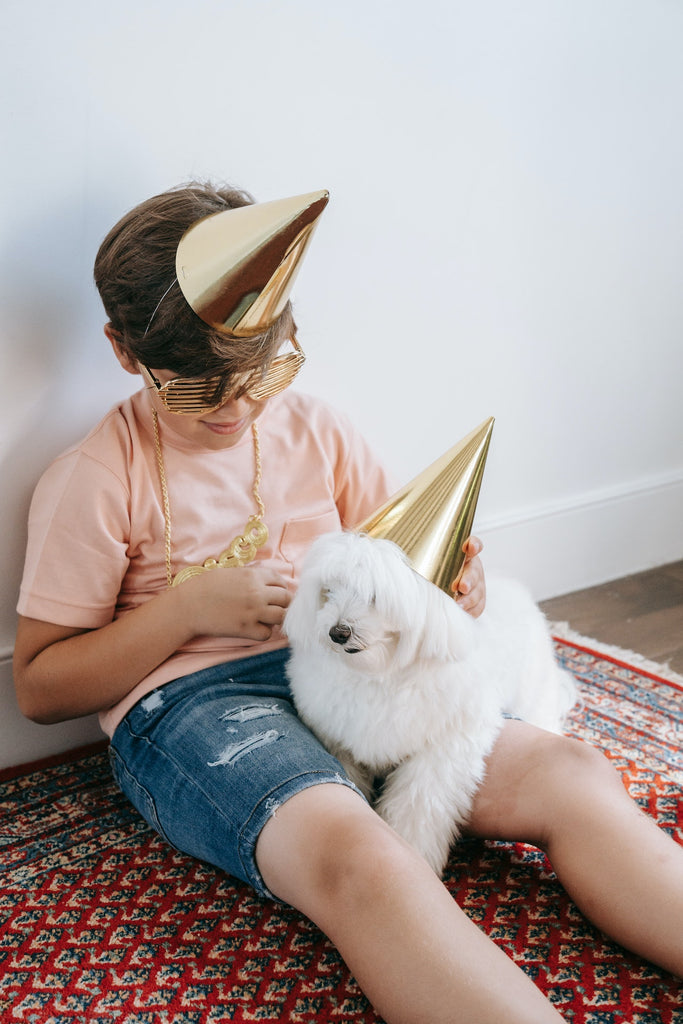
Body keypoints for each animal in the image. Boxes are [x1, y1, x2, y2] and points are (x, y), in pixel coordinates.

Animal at [282, 532, 577, 876]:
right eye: (329, 590)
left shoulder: (443, 752)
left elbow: (418, 807)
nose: (338, 632)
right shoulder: (338, 741)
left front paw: (414, 853)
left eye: (375, 596)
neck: (381, 674)